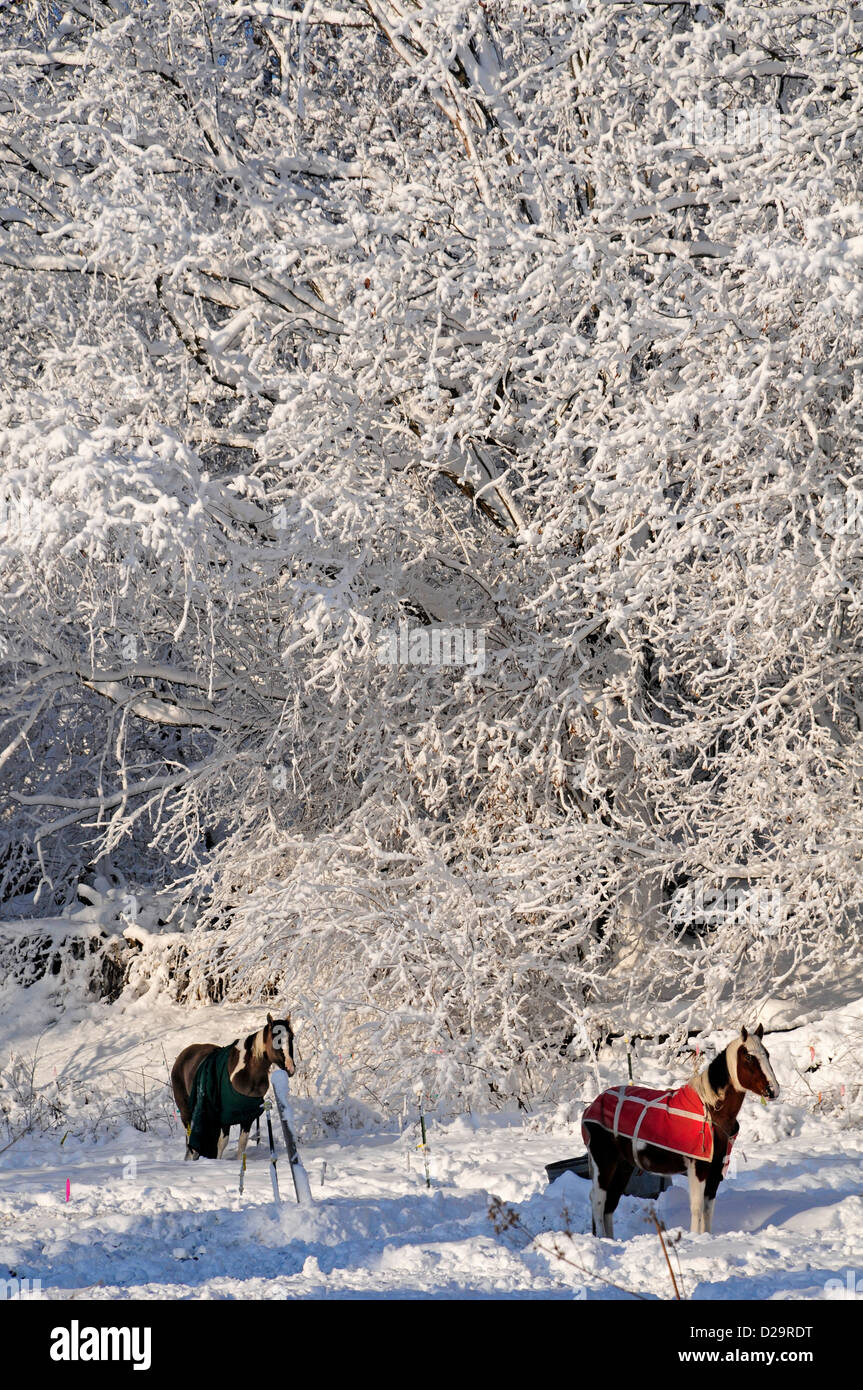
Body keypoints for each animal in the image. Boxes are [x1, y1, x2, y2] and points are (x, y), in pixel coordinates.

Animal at [171, 1013, 295, 1161]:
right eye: (277, 1039)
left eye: (292, 1037)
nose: (290, 1068)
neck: (246, 1074)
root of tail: (184, 1054)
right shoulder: (225, 1117)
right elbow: (222, 1143)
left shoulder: (248, 1117)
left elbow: (242, 1144)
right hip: (186, 1113)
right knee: (190, 1139)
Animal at [582, 1025, 779, 1237]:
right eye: (749, 1057)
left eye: (767, 1054)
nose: (773, 1090)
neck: (710, 1109)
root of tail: (592, 1106)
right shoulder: (698, 1168)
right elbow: (697, 1207)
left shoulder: (715, 1169)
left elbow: (708, 1209)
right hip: (604, 1163)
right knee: (598, 1200)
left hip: (623, 1166)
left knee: (610, 1204)